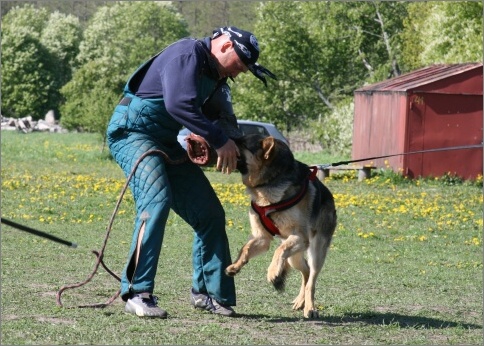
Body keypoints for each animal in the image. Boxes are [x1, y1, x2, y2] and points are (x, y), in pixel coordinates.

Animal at [226, 134, 336, 318]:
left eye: (243, 142)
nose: (227, 138)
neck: (270, 181)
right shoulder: (262, 238)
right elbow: (246, 248)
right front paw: (236, 265)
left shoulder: (299, 237)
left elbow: (278, 250)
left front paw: (272, 272)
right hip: (294, 257)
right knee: (306, 272)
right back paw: (300, 301)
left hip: (315, 251)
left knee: (311, 280)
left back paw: (309, 308)